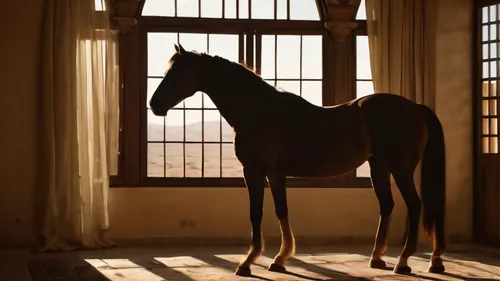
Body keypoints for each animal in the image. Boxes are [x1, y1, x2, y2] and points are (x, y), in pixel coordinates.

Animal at [147, 43, 446, 276]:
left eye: (176, 73)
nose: (154, 104)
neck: (258, 109)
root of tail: (416, 107)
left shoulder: (256, 171)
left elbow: (260, 213)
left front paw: (252, 261)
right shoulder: (272, 174)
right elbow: (278, 211)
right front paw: (277, 259)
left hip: (400, 169)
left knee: (414, 204)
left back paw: (404, 261)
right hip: (379, 167)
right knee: (388, 205)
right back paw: (385, 258)